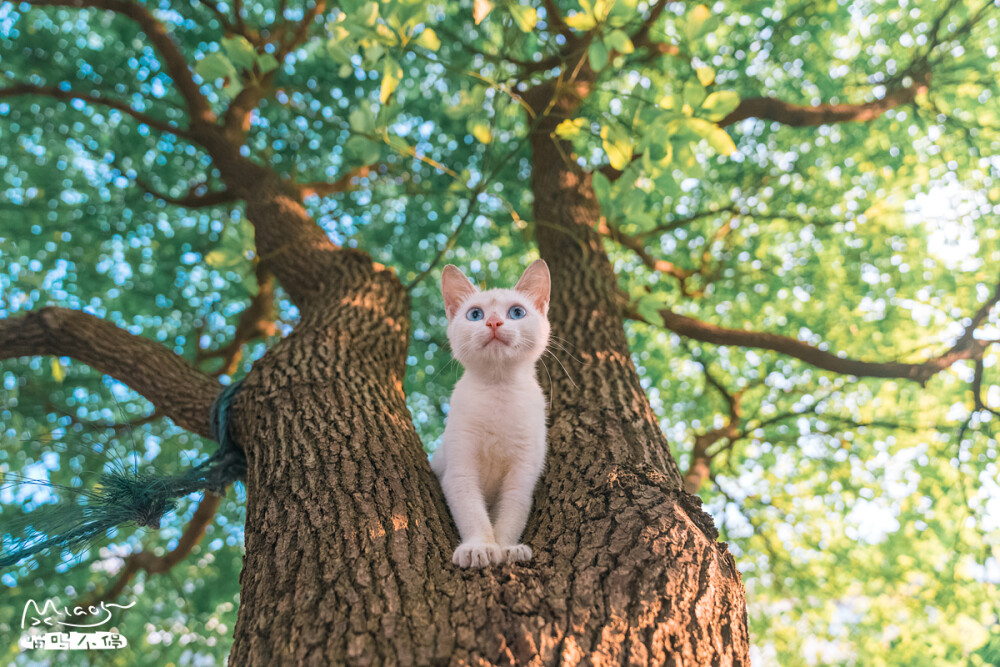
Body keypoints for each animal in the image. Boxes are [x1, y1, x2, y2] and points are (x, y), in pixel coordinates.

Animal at [430, 260, 552, 568]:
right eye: (475, 314)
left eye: (517, 312)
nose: (493, 322)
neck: (499, 391)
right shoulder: (460, 470)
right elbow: (472, 511)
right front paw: (480, 547)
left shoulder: (522, 475)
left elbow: (511, 514)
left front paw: (507, 548)